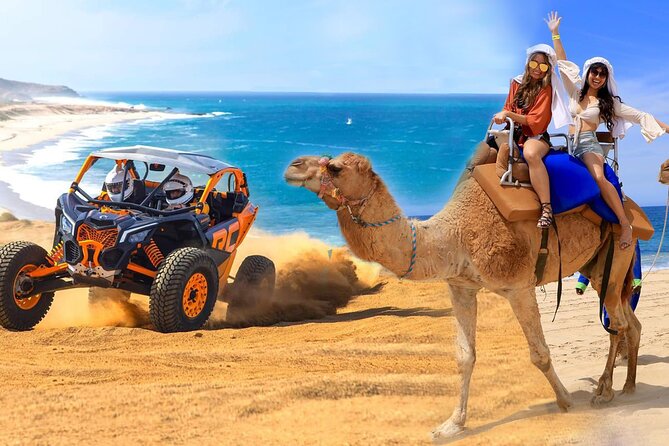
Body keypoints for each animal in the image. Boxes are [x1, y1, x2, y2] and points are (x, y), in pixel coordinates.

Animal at [284, 152, 640, 441]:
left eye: (334, 167)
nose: (293, 165)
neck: (453, 237)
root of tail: (630, 205)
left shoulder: (518, 286)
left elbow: (539, 353)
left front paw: (565, 401)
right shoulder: (461, 286)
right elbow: (464, 356)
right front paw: (451, 425)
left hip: (618, 250)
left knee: (617, 321)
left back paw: (604, 392)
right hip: (598, 265)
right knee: (630, 321)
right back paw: (627, 387)